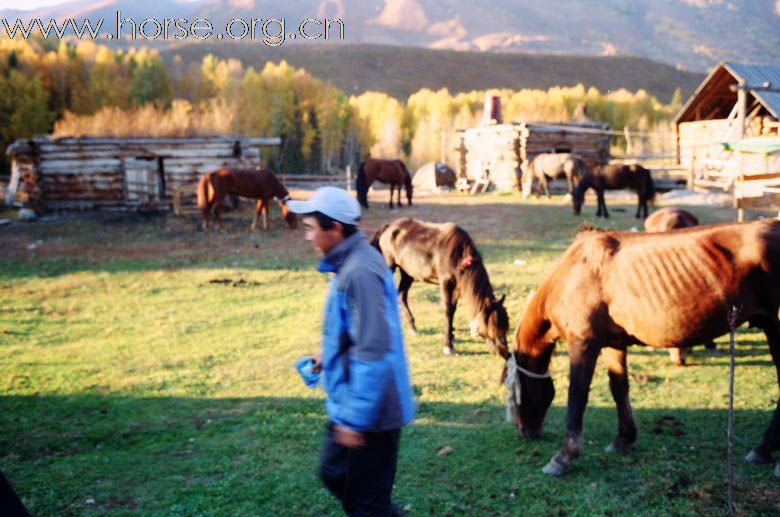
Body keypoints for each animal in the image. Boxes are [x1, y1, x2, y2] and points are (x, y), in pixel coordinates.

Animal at [374, 216, 508, 356]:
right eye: (493, 326)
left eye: (506, 326)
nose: (504, 351)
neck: (459, 255)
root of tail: (389, 227)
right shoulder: (445, 282)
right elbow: (447, 310)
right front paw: (448, 345)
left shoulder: (457, 286)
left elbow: (453, 309)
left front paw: (452, 336)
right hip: (389, 265)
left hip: (407, 273)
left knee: (401, 295)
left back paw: (412, 327)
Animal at [506, 218, 780, 476]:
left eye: (516, 388)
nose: (524, 431)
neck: (573, 275)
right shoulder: (613, 344)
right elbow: (619, 387)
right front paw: (623, 439)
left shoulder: (583, 343)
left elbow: (577, 395)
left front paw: (563, 457)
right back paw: (763, 449)